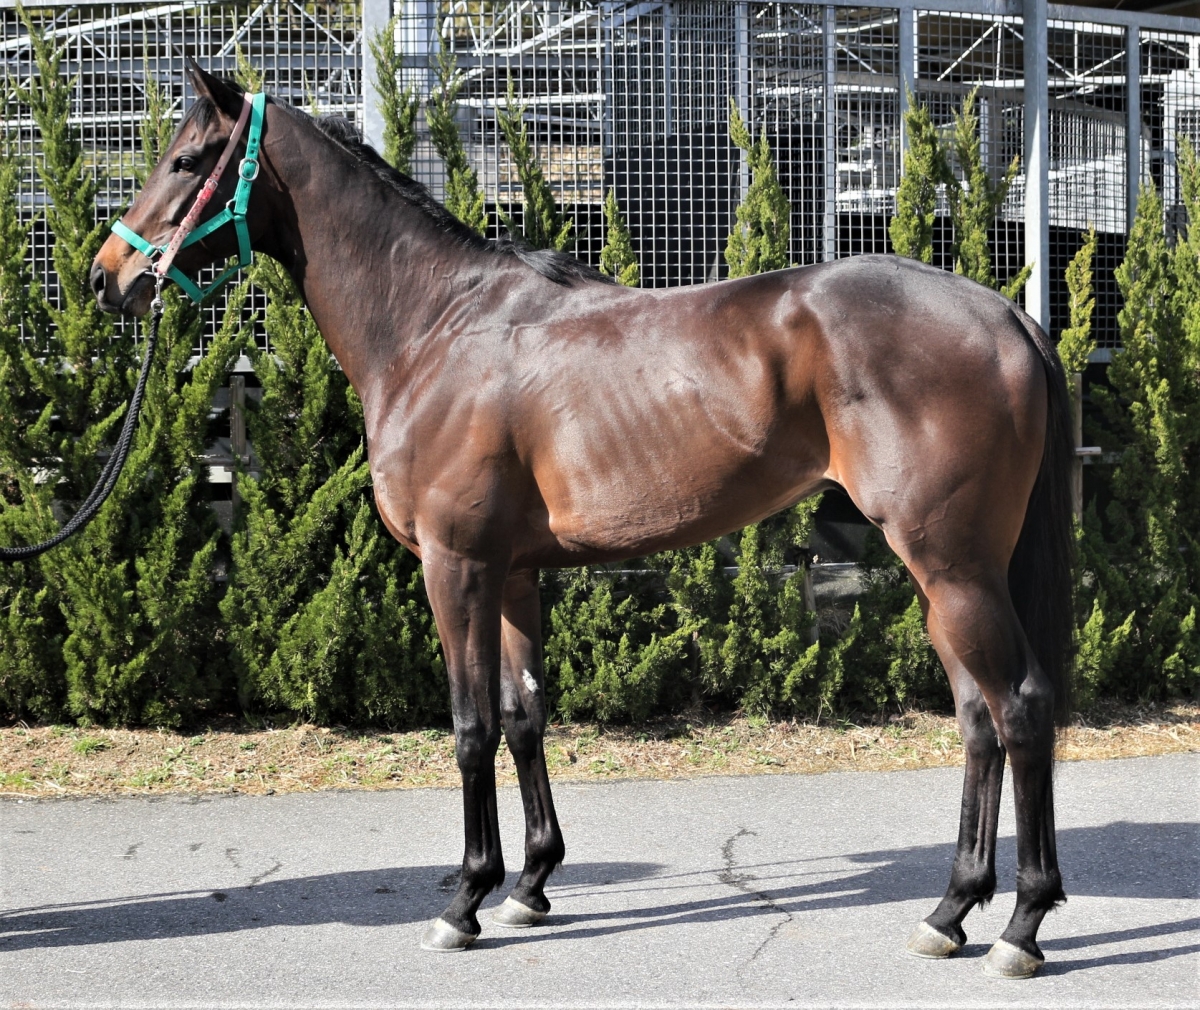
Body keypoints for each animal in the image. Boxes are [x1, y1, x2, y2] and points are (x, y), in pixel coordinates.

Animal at [91, 63, 1075, 979]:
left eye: (187, 160)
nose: (109, 277)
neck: (434, 327)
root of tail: (1005, 314)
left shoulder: (456, 566)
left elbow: (470, 726)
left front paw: (465, 900)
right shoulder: (515, 572)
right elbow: (525, 714)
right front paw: (529, 885)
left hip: (954, 567)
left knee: (1021, 711)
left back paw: (1021, 927)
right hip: (944, 575)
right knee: (979, 720)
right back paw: (950, 911)